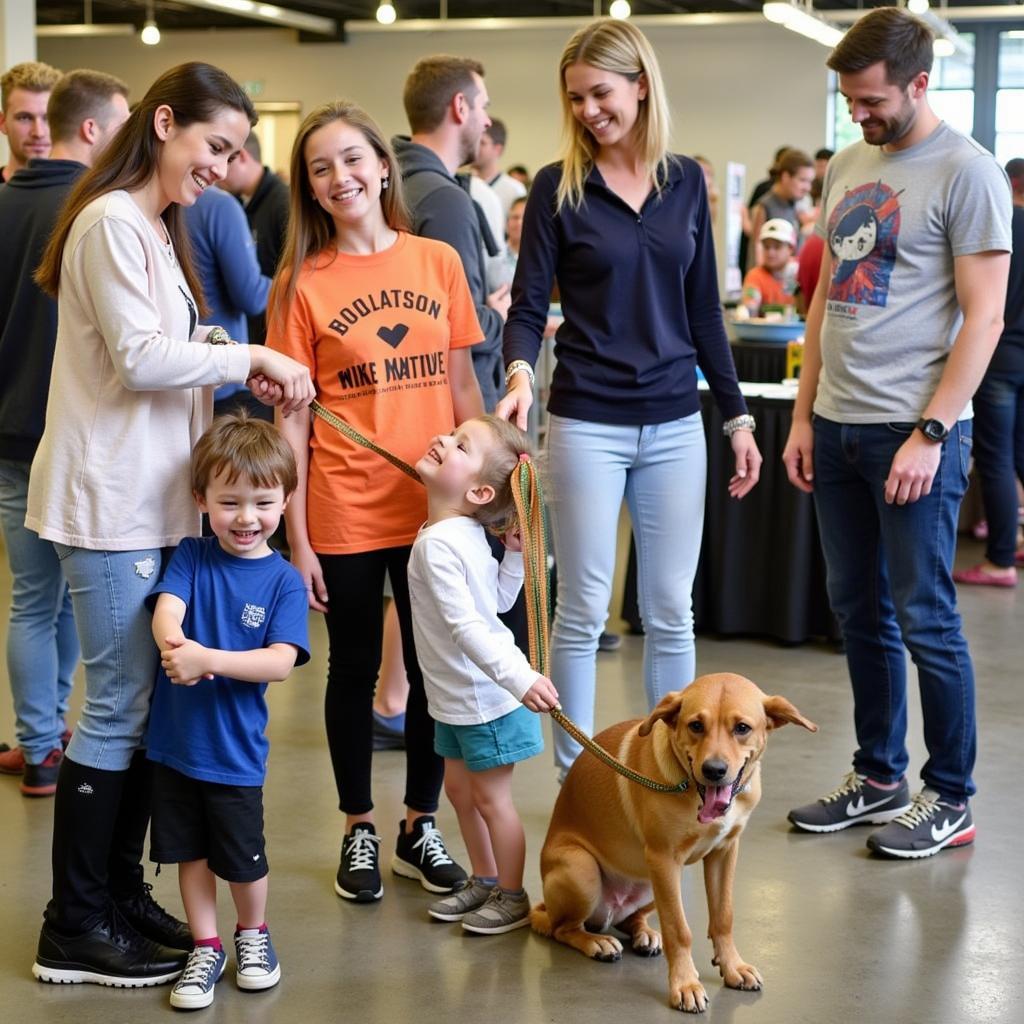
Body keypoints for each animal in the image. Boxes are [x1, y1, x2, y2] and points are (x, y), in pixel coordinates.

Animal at [536, 667, 815, 1011]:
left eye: (742, 728)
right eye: (696, 725)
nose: (714, 770)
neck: (691, 789)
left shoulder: (724, 853)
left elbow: (723, 916)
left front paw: (732, 966)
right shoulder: (664, 859)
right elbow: (678, 929)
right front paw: (685, 984)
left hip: (649, 883)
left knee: (630, 919)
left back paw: (643, 934)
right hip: (584, 870)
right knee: (562, 929)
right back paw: (596, 943)